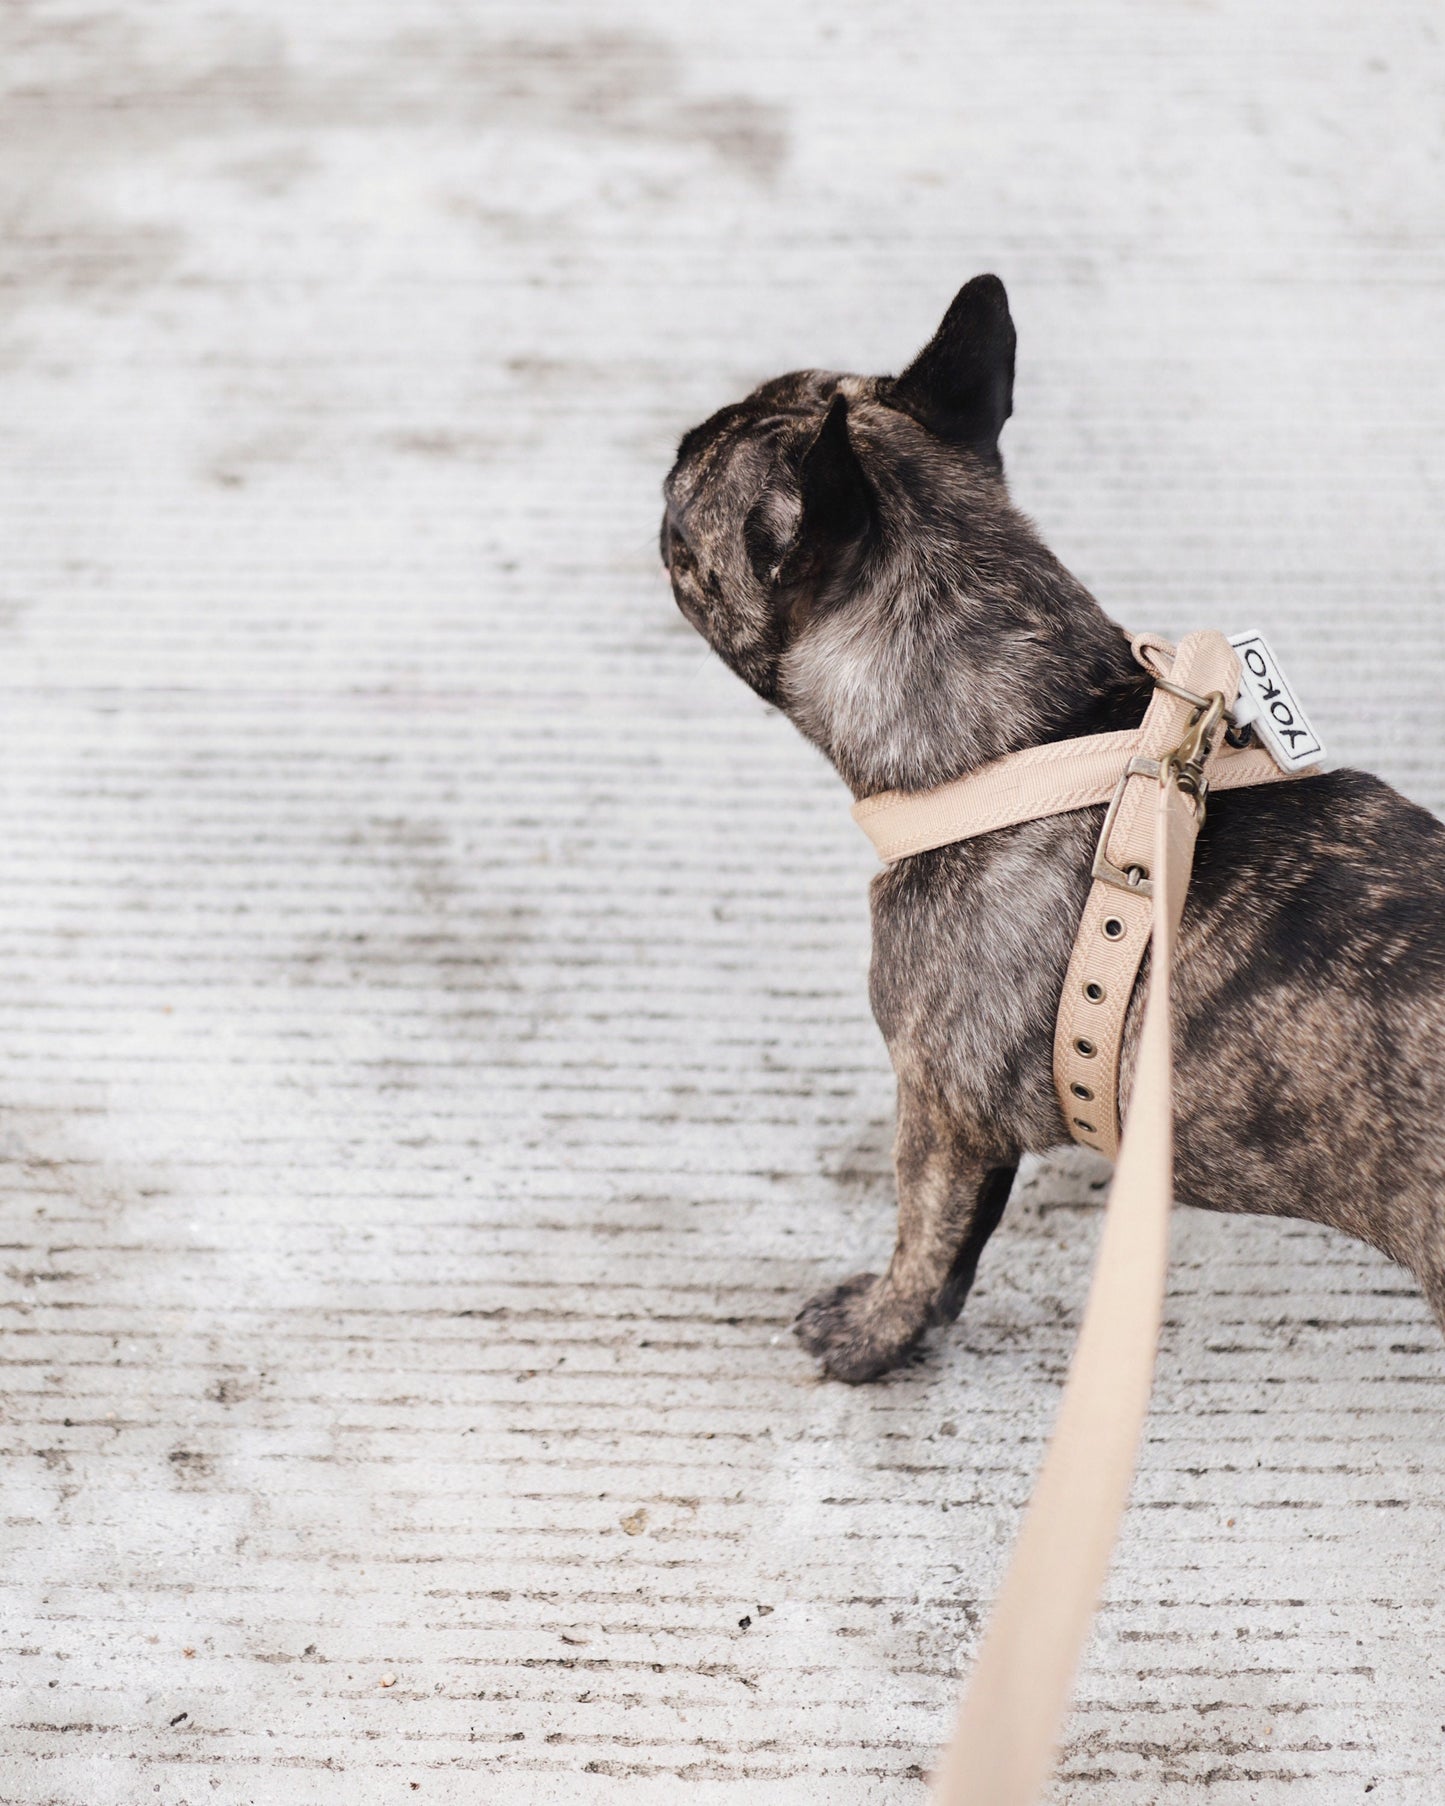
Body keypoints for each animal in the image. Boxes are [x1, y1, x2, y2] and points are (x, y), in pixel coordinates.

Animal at [657, 274, 1445, 1379]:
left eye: (681, 514)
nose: (668, 454)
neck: (1031, 728)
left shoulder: (936, 1109)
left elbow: (923, 1235)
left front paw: (872, 1337)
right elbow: (963, 1245)